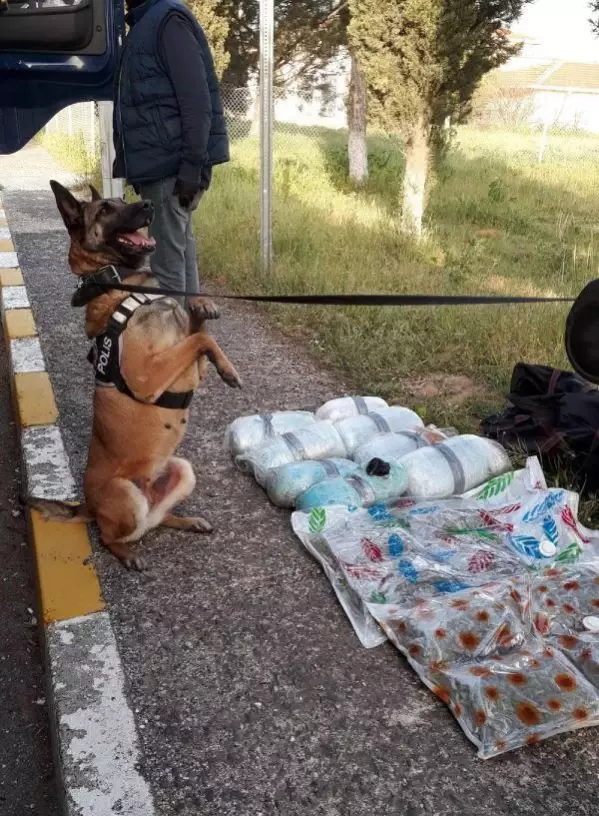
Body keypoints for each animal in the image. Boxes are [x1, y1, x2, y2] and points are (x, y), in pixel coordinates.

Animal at [31, 182, 240, 572]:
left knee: (156, 519)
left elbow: (200, 334)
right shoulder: (147, 376)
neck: (125, 283)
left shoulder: (192, 368)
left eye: (124, 200)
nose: (147, 205)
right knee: (111, 536)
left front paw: (201, 308)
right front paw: (228, 367)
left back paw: (188, 521)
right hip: (126, 495)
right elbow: (200, 339)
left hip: (183, 470)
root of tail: (87, 506)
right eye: (104, 210)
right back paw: (127, 554)